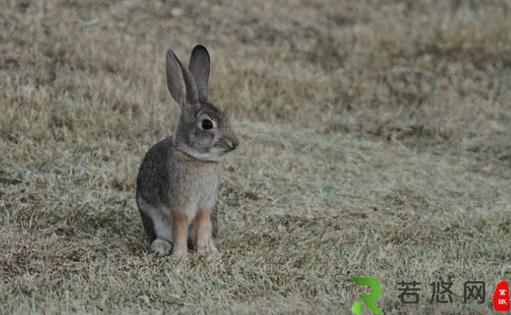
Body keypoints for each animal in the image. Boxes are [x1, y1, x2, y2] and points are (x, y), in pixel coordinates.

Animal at [136, 45, 240, 256]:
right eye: (207, 124)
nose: (234, 143)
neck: (196, 158)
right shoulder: (181, 206)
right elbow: (181, 227)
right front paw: (180, 256)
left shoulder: (206, 206)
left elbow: (202, 225)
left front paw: (205, 253)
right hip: (154, 219)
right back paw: (161, 247)